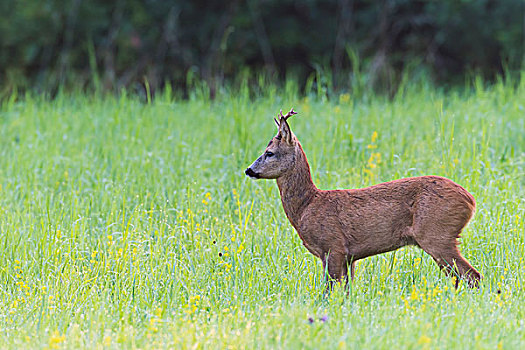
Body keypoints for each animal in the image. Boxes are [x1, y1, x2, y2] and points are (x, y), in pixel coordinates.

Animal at [244, 108, 482, 290]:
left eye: (269, 152)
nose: (249, 170)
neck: (307, 206)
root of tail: (470, 200)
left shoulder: (333, 246)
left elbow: (328, 291)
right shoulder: (348, 257)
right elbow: (347, 291)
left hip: (437, 234)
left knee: (472, 275)